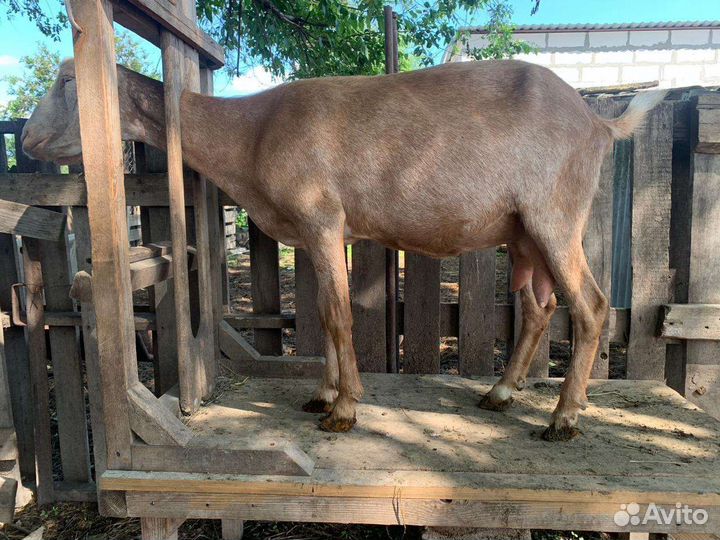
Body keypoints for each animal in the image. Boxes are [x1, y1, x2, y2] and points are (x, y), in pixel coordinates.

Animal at [22, 58, 665, 440]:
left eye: (68, 81)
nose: (26, 139)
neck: (250, 132)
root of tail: (599, 122)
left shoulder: (322, 216)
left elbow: (335, 313)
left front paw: (345, 408)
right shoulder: (314, 233)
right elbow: (324, 312)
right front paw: (323, 394)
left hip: (556, 214)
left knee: (592, 306)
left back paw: (563, 418)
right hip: (523, 233)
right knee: (537, 307)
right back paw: (501, 393)